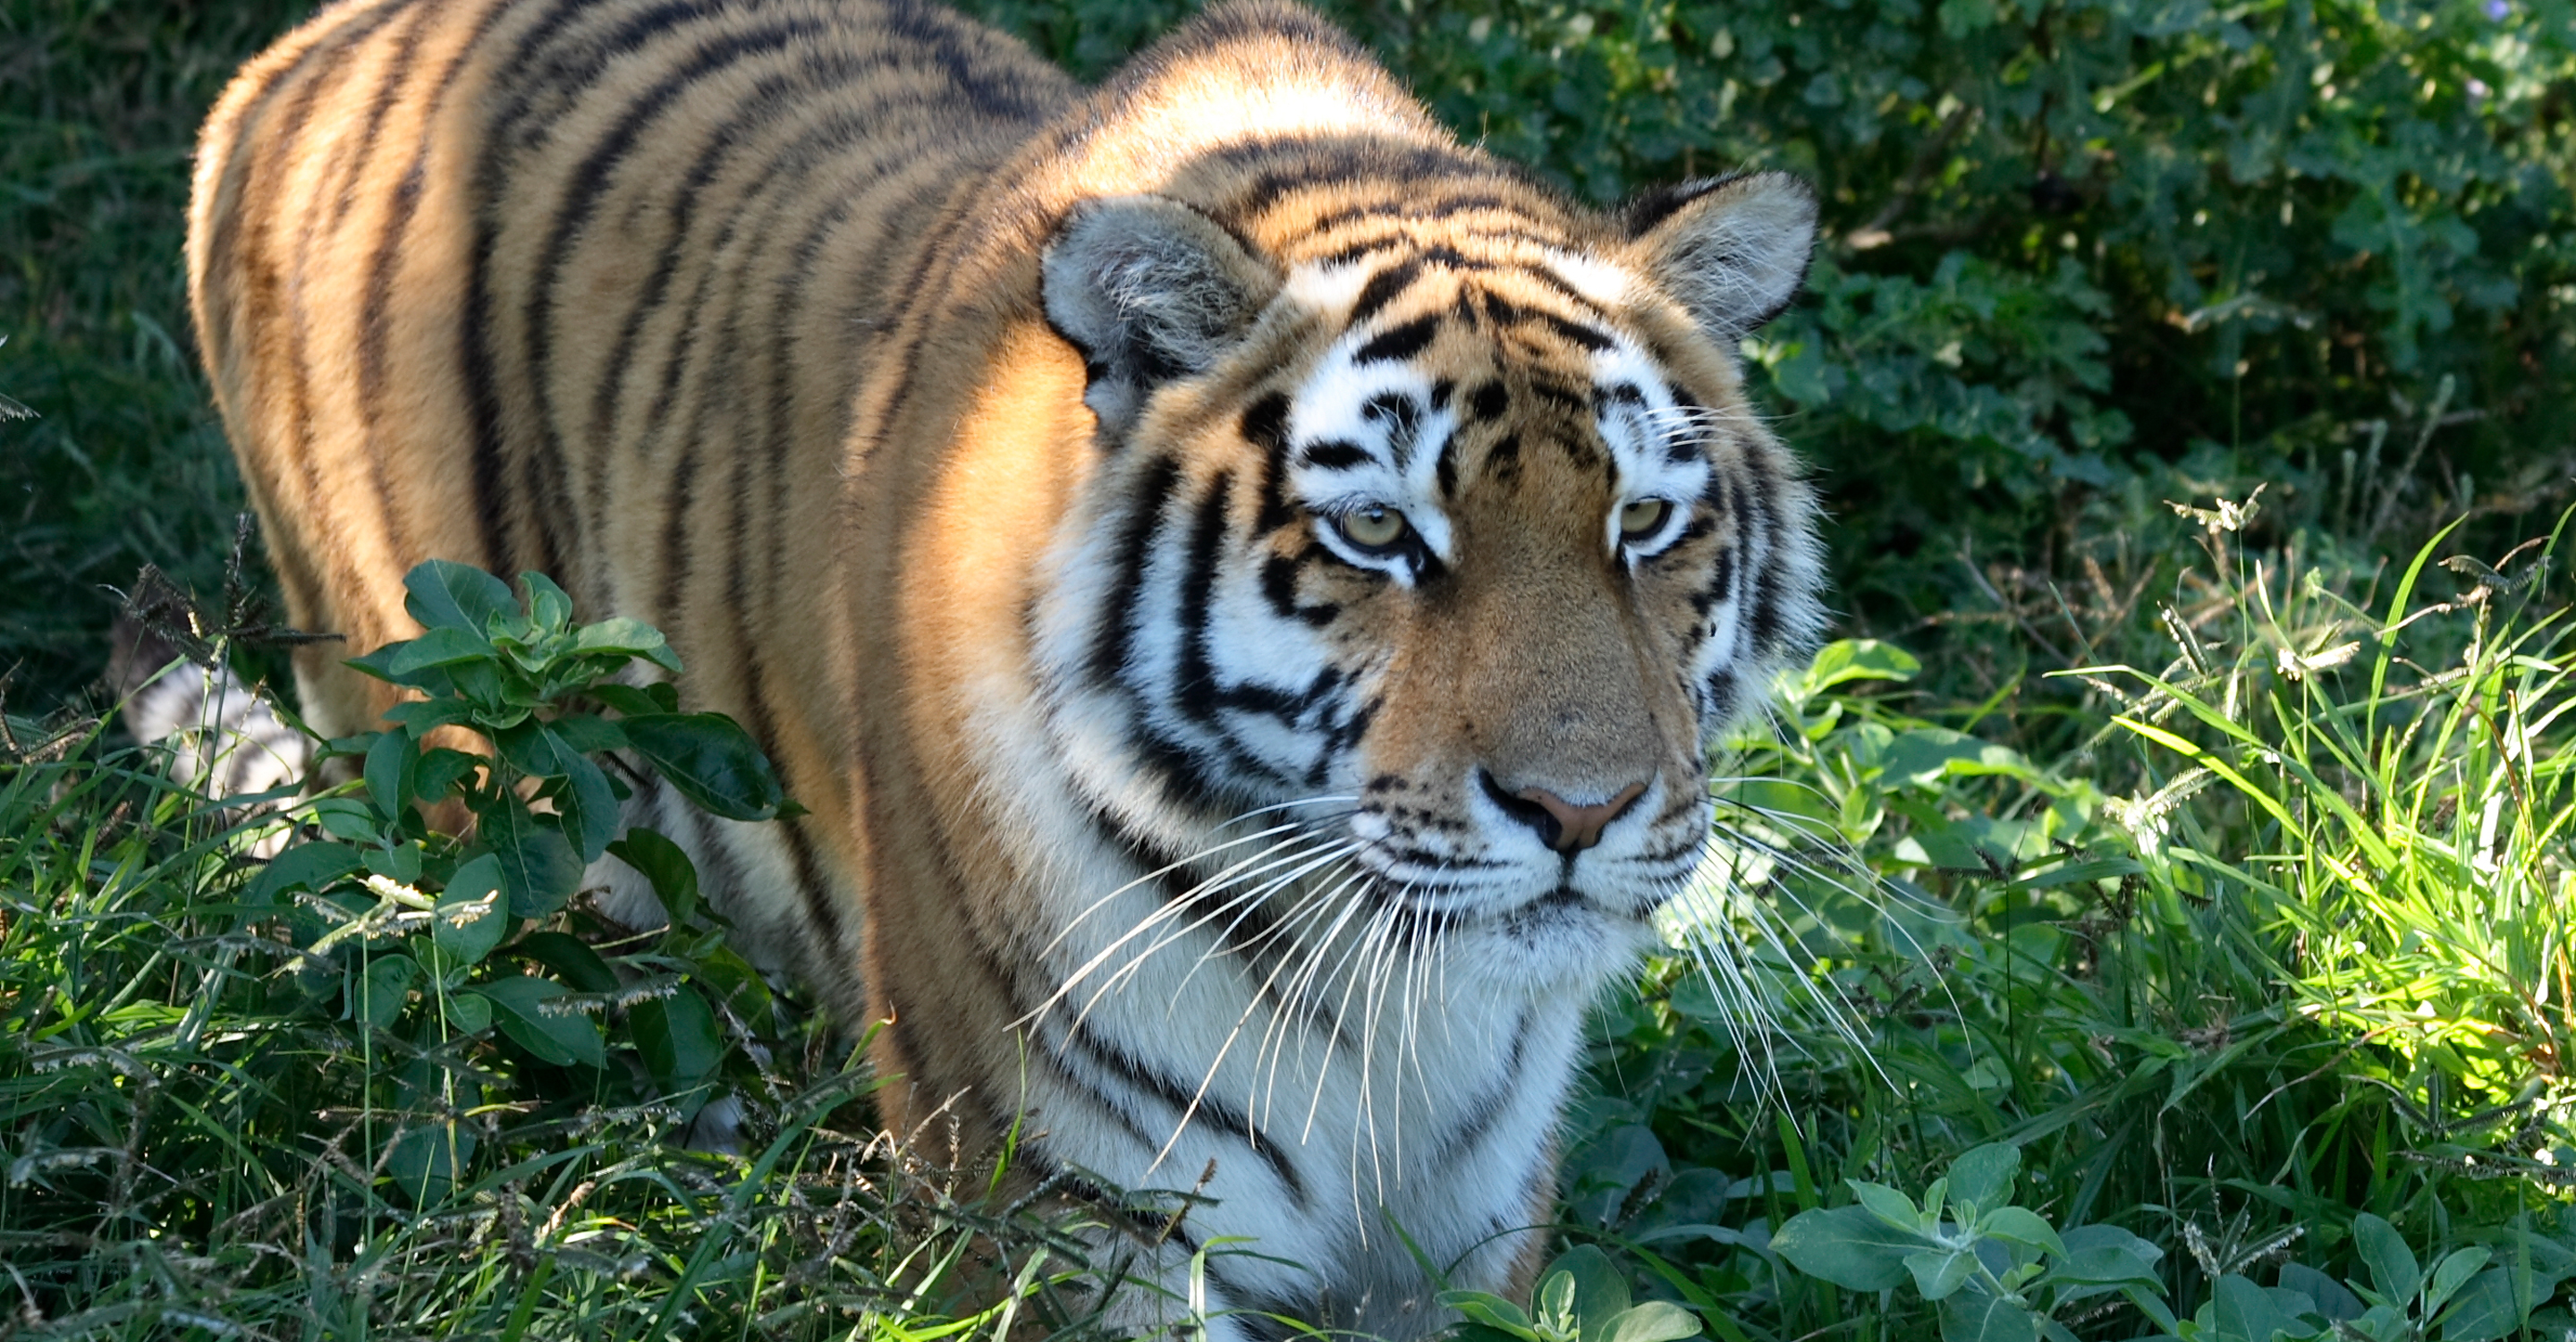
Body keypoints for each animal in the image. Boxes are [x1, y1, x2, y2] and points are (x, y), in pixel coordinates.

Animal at [185, 0, 1824, 1334]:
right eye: (1377, 531)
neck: (1393, 1008)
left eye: (1645, 523)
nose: (1581, 813)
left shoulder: (1471, 1234)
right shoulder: (1072, 1218)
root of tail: (299, 56)